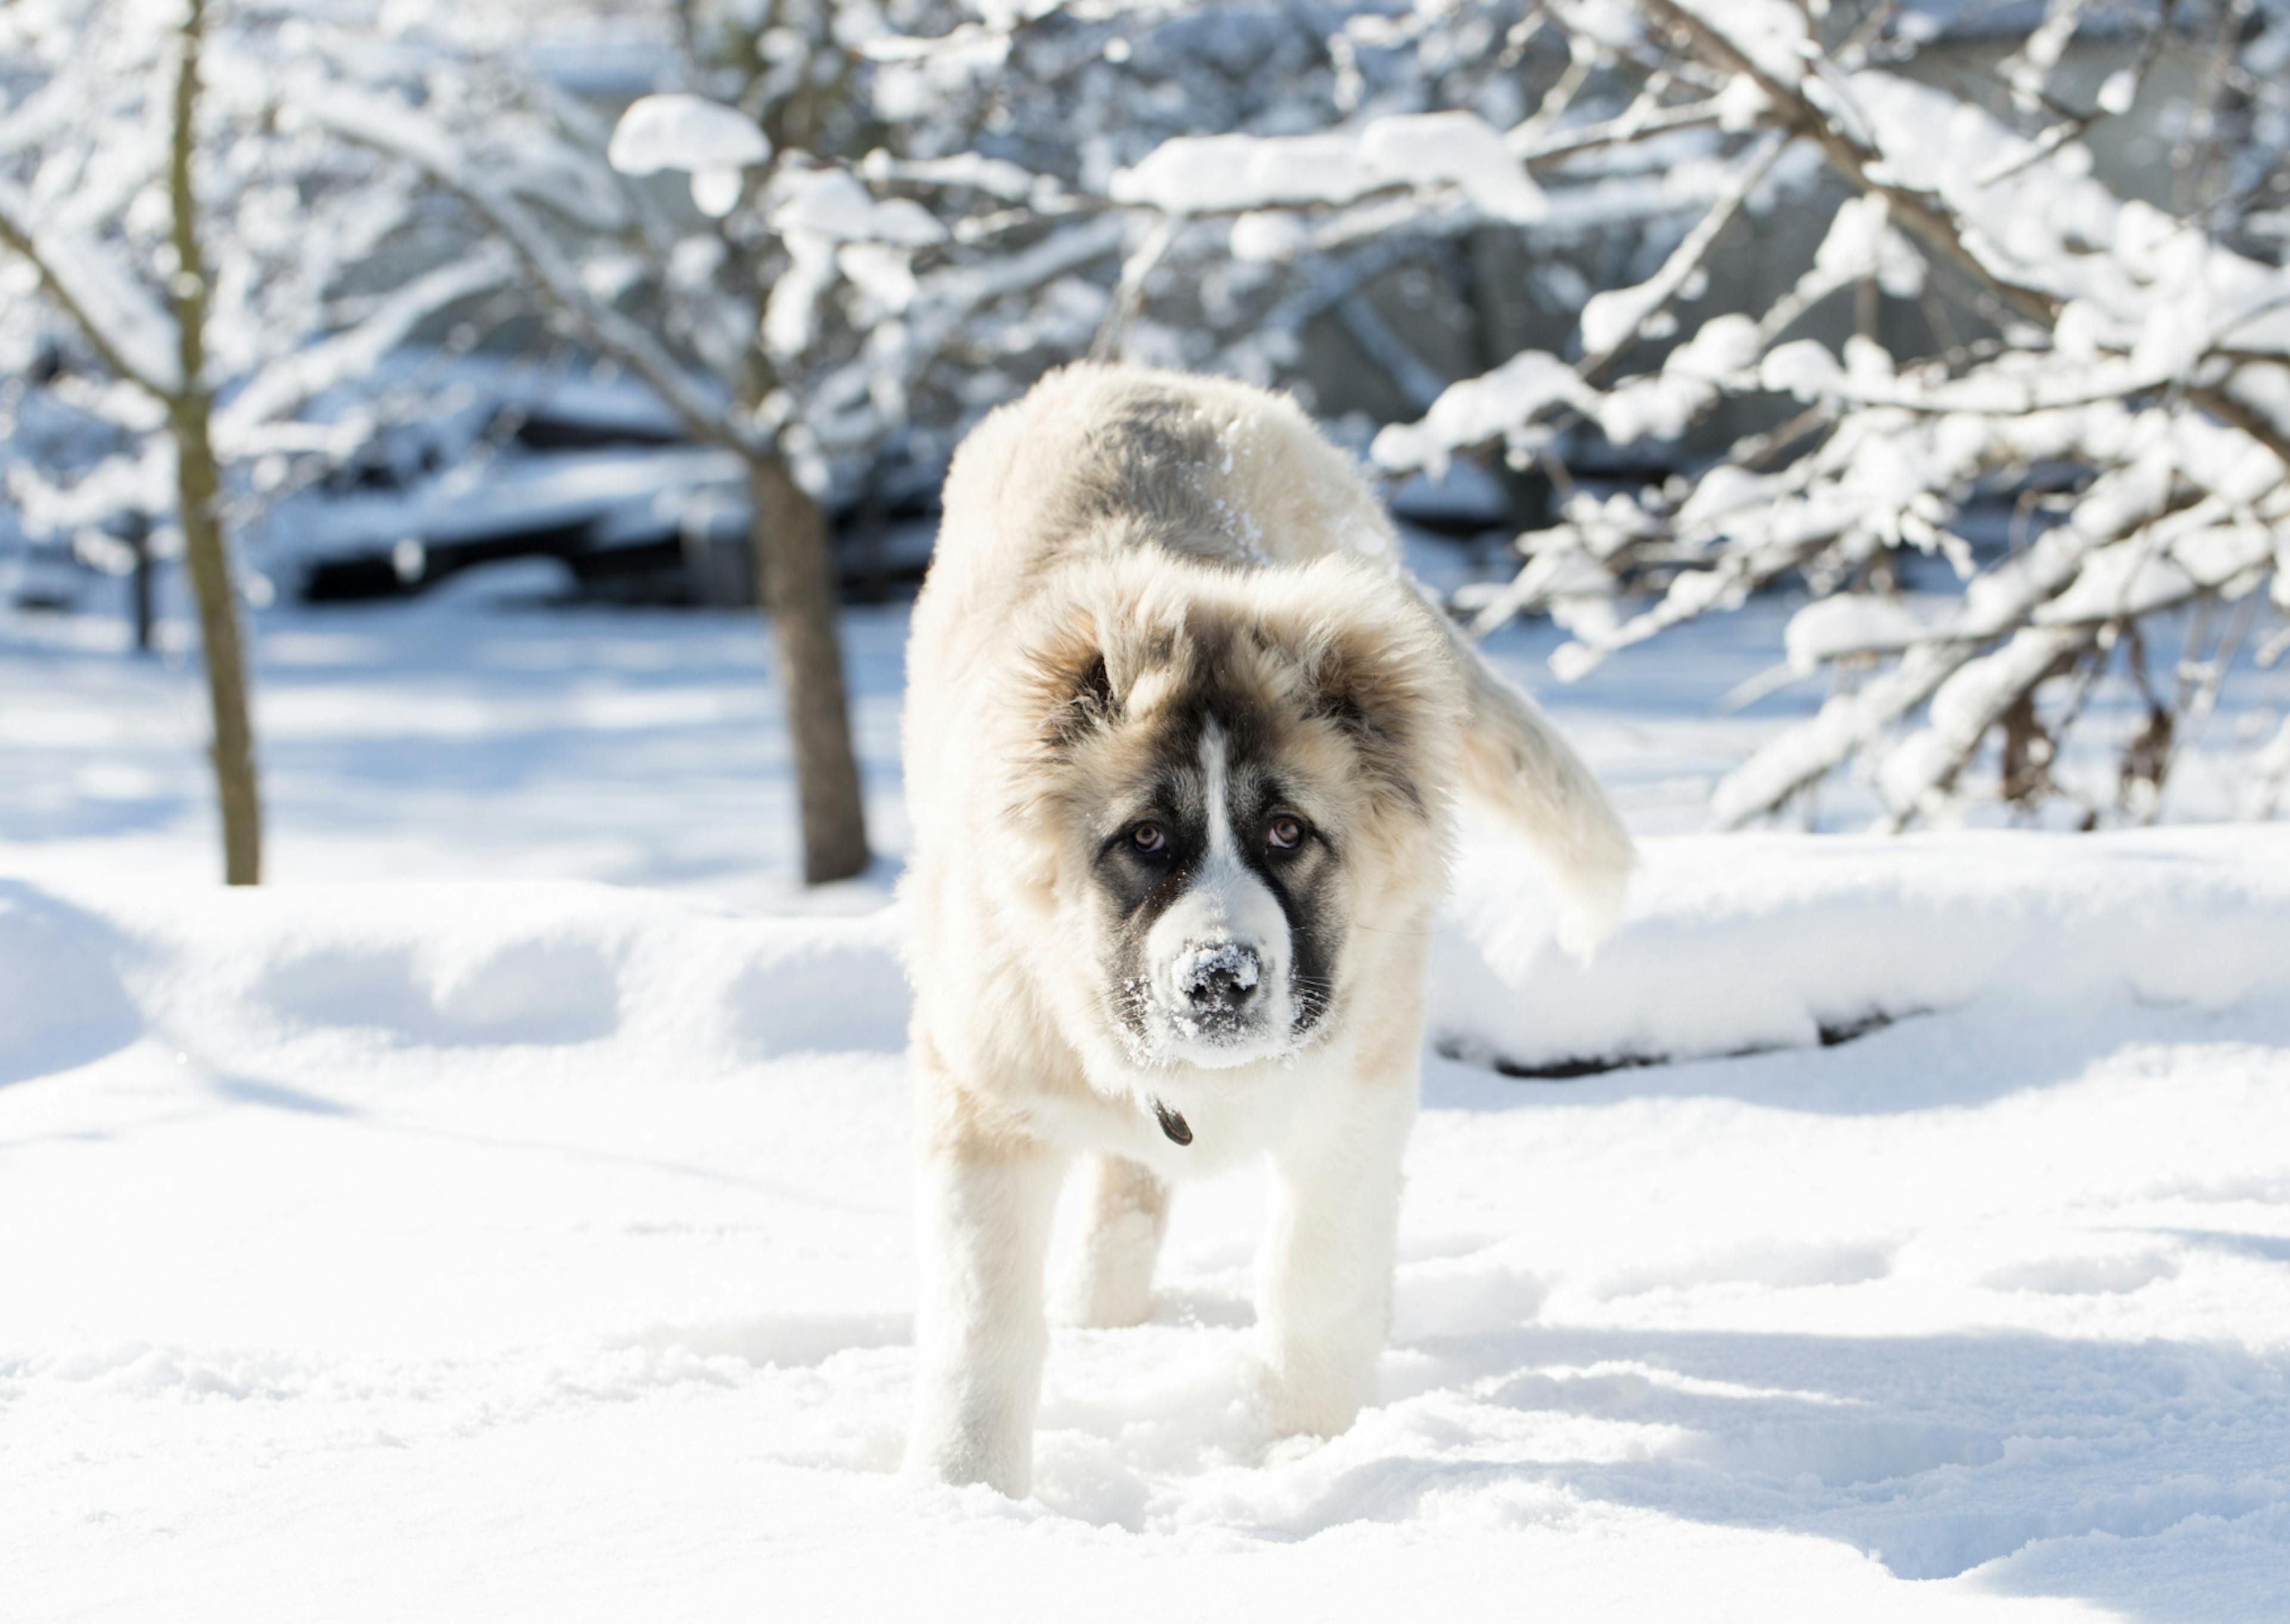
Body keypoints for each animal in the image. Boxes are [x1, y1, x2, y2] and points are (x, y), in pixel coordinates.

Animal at [893, 366, 1630, 1493]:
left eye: (1287, 831)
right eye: (1146, 837)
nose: (1220, 979)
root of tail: (1159, 380)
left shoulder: (1355, 1096)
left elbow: (1314, 1282)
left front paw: (1302, 1455)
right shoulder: (986, 1097)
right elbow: (985, 1328)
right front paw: (966, 1495)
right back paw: (1104, 1316)